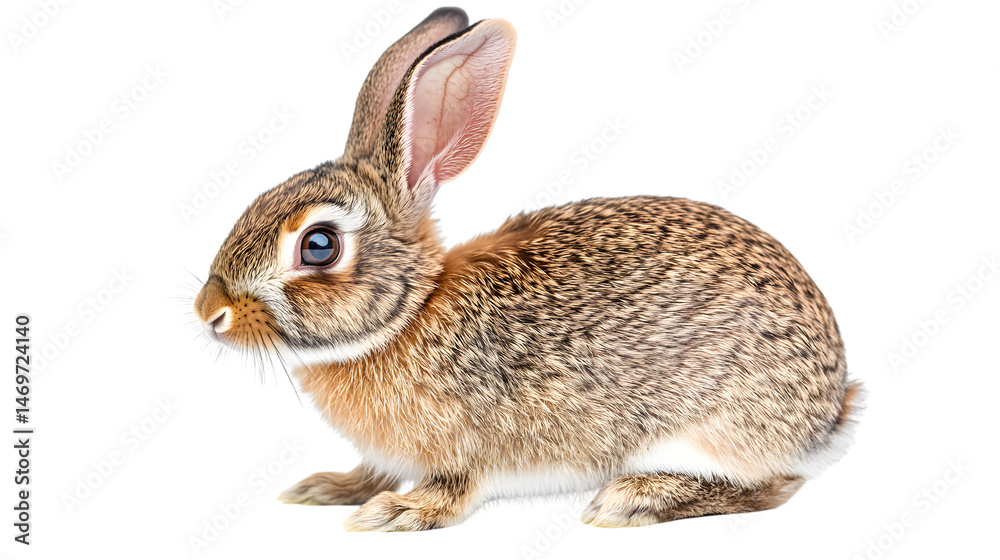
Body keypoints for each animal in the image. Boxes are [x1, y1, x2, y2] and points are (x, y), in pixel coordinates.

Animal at [193, 7, 863, 531]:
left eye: (319, 245)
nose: (210, 313)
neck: (410, 314)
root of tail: (831, 411)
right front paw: (330, 489)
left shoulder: (472, 448)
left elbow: (453, 490)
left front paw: (395, 512)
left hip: (714, 426)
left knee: (771, 486)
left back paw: (634, 499)